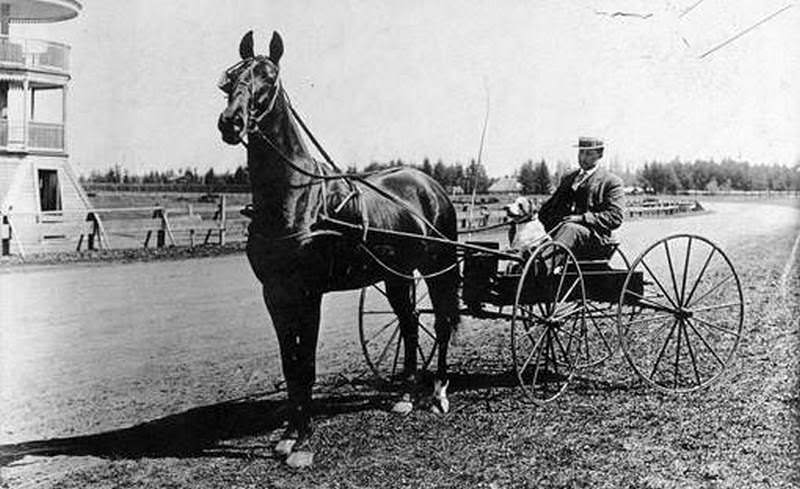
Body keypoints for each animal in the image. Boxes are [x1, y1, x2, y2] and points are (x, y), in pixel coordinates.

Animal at [217, 31, 462, 462]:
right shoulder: (275, 293)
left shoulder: (309, 293)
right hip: (397, 275)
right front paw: (288, 434)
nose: (231, 122)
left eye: (269, 77)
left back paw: (438, 392)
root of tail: (429, 184)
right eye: (230, 79)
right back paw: (404, 395)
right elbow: (290, 364)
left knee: (442, 322)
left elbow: (307, 364)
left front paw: (303, 440)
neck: (296, 199)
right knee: (410, 324)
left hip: (438, 267)